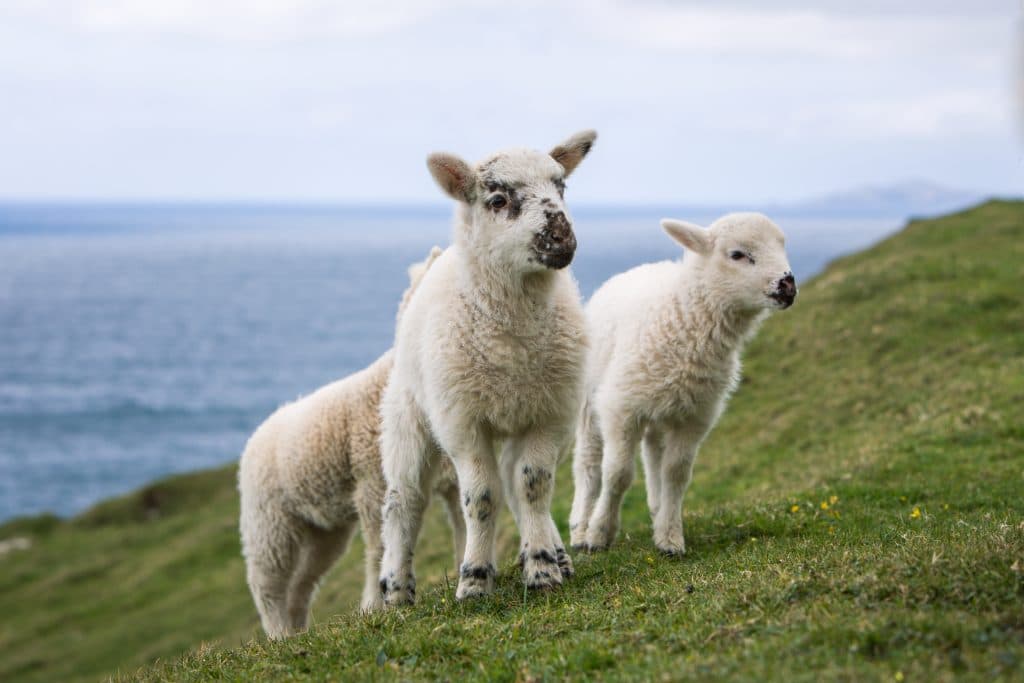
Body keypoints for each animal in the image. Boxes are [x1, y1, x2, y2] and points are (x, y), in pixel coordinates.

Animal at [238, 246, 464, 639]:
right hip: (269, 521)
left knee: (302, 583)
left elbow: (464, 527)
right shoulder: (373, 485)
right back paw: (278, 634)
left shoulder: (448, 479)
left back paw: (296, 632)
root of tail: (260, 430)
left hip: (323, 529)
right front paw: (375, 605)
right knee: (266, 584)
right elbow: (379, 549)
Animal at [377, 130, 597, 605]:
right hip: (408, 417)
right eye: (497, 199)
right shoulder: (463, 422)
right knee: (403, 501)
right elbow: (479, 498)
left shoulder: (549, 415)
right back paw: (396, 592)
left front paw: (542, 569)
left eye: (562, 188)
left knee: (517, 484)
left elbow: (533, 488)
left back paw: (555, 554)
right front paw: (475, 580)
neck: (512, 345)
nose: (562, 238)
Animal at [568, 213, 797, 555]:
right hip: (589, 400)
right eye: (737, 254)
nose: (788, 285)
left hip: (662, 407)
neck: (684, 318)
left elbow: (676, 474)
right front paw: (600, 533)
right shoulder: (621, 407)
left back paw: (655, 508)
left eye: (782, 245)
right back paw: (580, 528)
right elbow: (618, 474)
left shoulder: (695, 417)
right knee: (588, 465)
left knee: (653, 454)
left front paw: (670, 537)